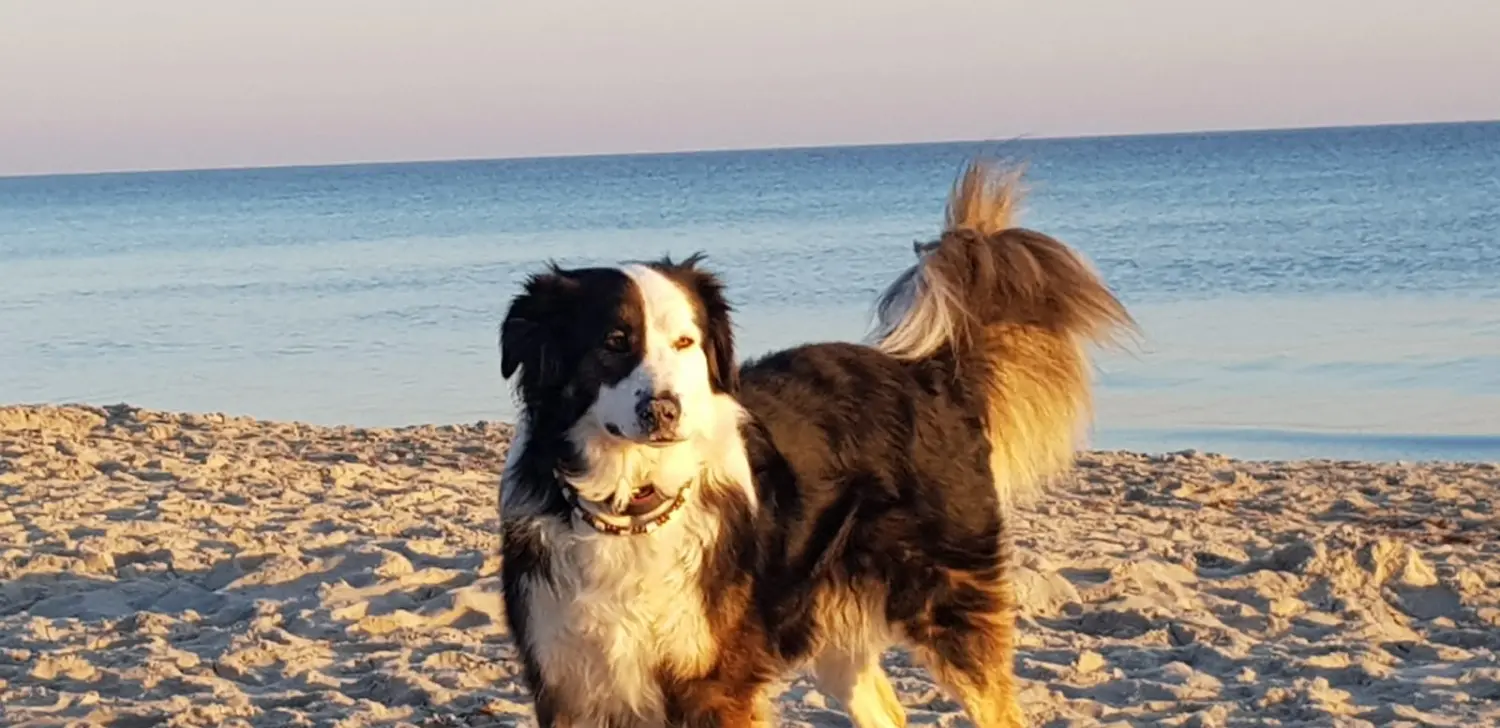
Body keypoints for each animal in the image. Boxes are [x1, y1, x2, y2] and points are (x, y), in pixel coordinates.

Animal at [498, 160, 1128, 726]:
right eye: (613, 342)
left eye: (685, 343)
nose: (664, 411)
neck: (631, 506)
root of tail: (930, 374)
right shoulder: (568, 681)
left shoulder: (715, 684)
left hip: (948, 600)